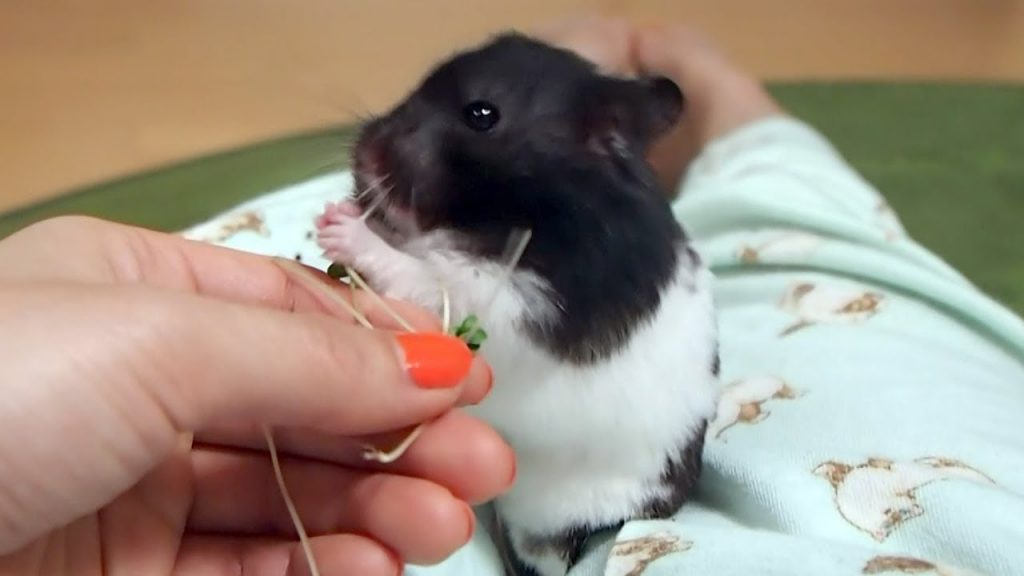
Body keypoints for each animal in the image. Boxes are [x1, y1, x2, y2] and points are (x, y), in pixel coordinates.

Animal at [313, 32, 720, 573]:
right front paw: (335, 215)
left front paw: (337, 225)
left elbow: (428, 277)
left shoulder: (519, 305)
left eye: (481, 114)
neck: (528, 205)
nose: (364, 153)